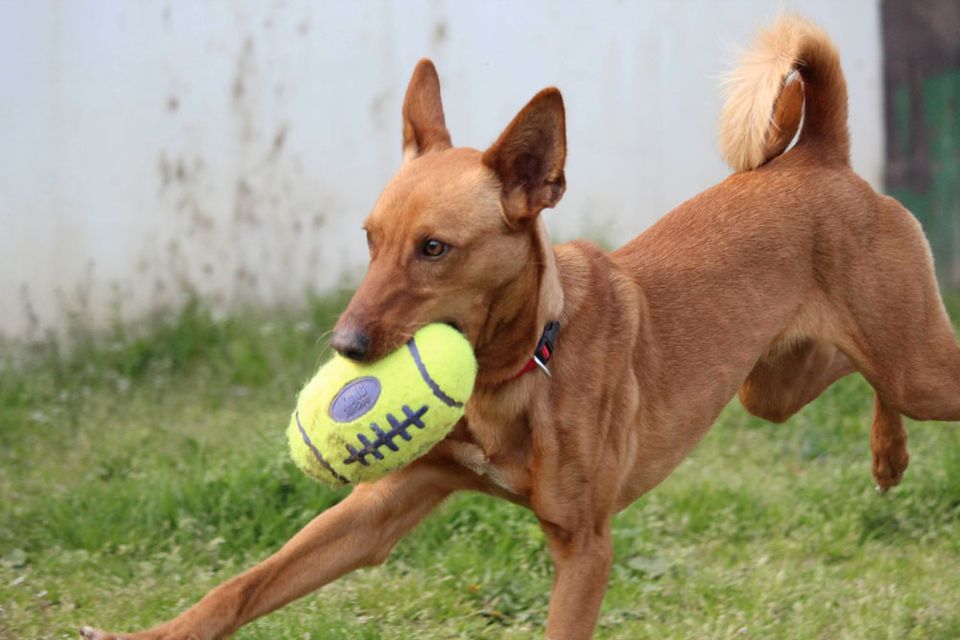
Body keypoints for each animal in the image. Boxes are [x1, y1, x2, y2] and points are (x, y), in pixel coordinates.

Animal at [82, 15, 960, 640]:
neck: (522, 366)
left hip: (915, 365)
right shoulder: (382, 507)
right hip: (769, 387)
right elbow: (246, 583)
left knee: (912, 373)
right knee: (855, 373)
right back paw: (888, 454)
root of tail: (819, 156)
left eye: (435, 249)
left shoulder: (586, 547)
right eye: (370, 239)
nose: (346, 350)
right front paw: (147, 636)